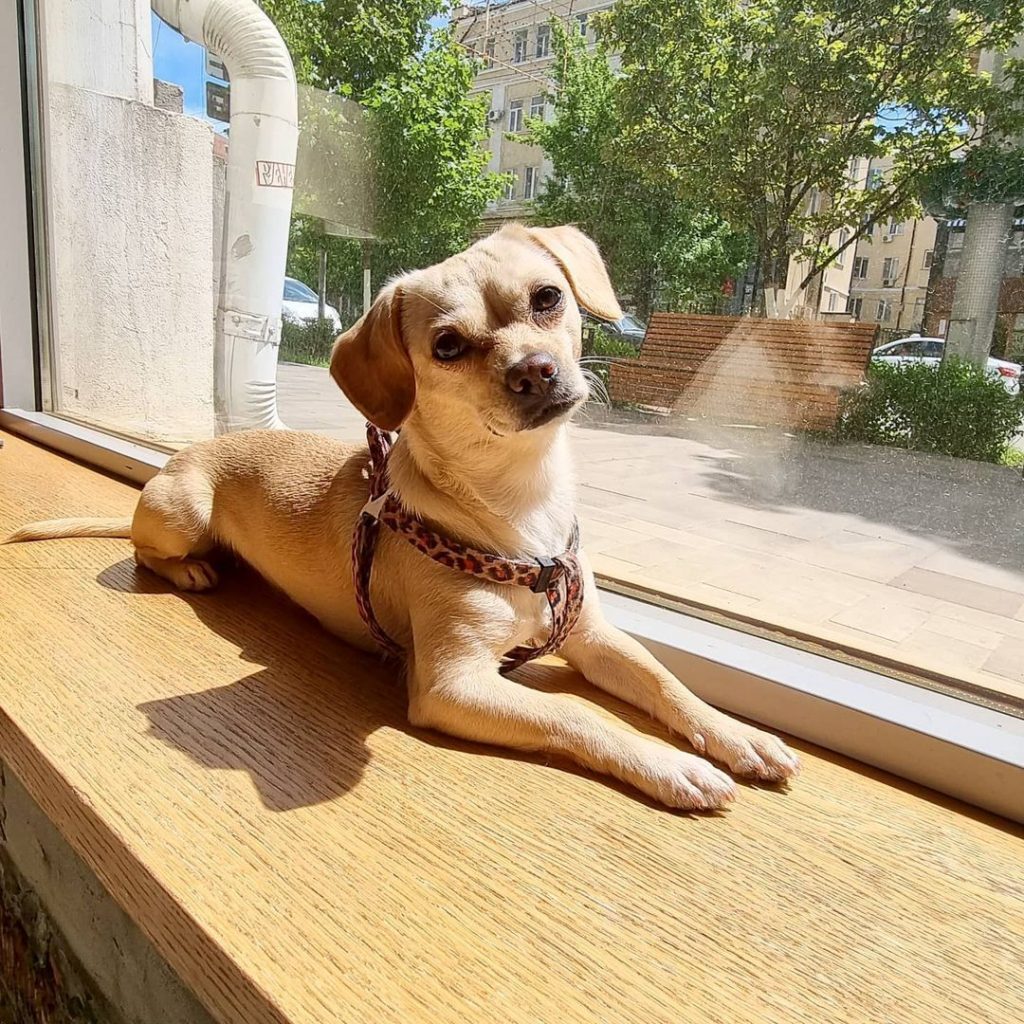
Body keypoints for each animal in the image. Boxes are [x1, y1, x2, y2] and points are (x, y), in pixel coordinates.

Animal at [8, 224, 798, 806]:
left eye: (547, 298)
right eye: (447, 346)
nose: (535, 369)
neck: (522, 507)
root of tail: (184, 456)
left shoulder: (595, 637)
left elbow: (665, 681)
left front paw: (735, 734)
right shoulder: (453, 685)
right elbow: (578, 713)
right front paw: (670, 765)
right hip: (183, 512)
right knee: (146, 551)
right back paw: (194, 570)